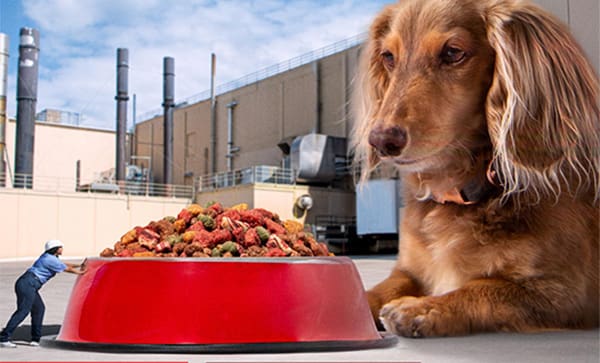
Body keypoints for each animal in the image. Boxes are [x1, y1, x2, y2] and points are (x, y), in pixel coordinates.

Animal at [352, 0, 600, 338]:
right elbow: (379, 290)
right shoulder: (408, 269)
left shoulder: (568, 293)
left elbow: (484, 287)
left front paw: (423, 307)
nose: (381, 140)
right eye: (388, 56)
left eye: (453, 52)